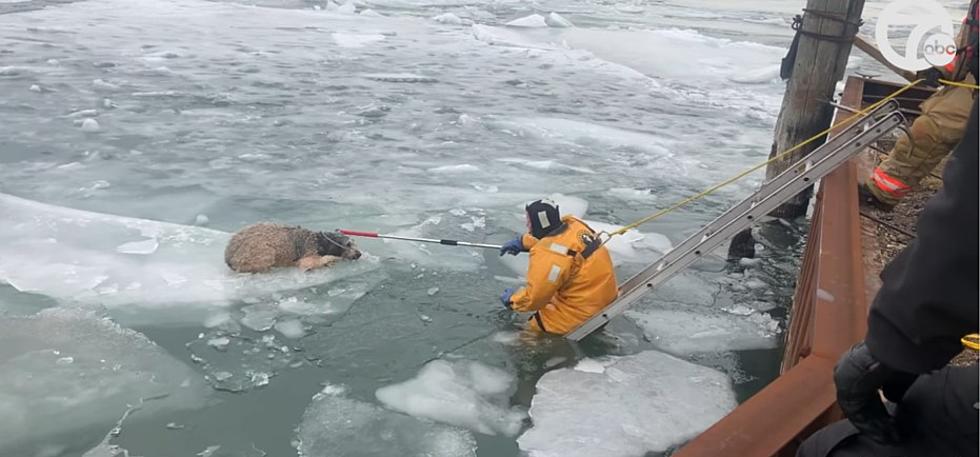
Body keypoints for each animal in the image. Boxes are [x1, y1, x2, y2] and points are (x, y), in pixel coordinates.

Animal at [224, 223, 362, 272]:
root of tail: (228, 256)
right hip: (260, 251)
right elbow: (309, 262)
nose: (359, 253)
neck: (320, 241)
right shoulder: (309, 253)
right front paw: (331, 260)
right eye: (348, 244)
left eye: (355, 243)